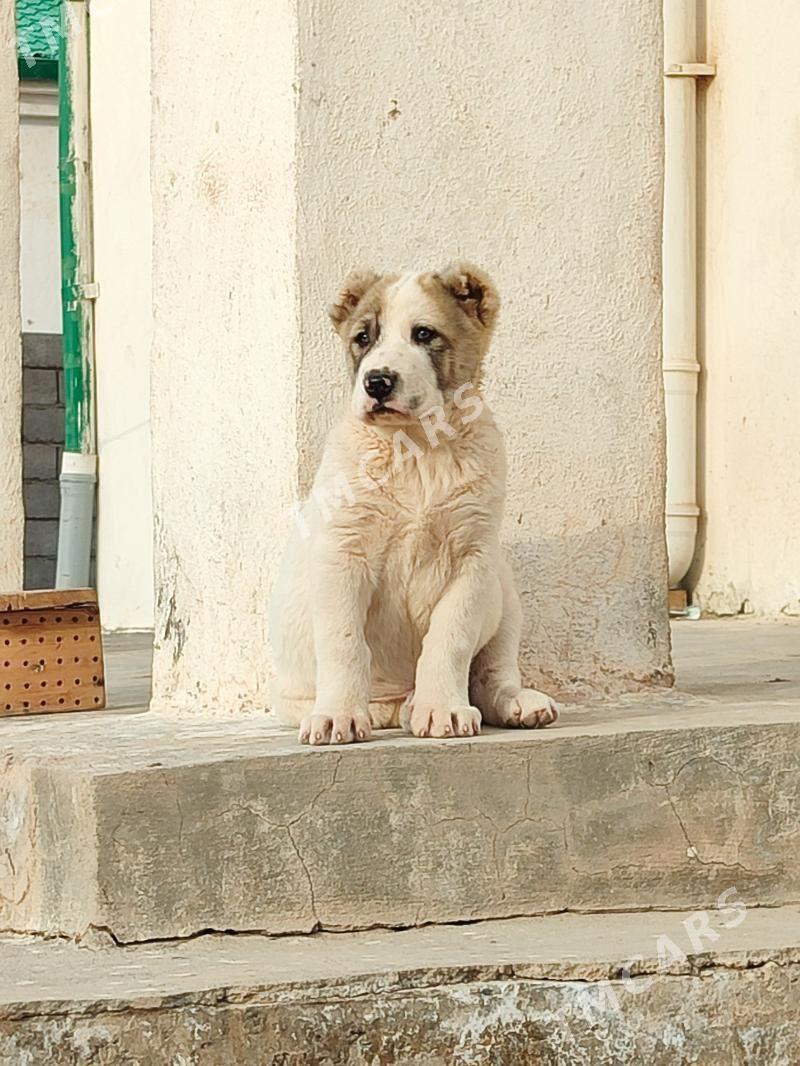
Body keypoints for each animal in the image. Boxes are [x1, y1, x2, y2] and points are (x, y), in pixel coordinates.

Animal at [269, 262, 558, 746]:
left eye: (424, 334)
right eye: (363, 337)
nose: (377, 381)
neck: (416, 449)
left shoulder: (472, 560)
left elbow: (450, 637)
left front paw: (443, 709)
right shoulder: (343, 554)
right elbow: (344, 642)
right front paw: (336, 716)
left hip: (503, 588)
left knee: (492, 673)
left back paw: (513, 703)